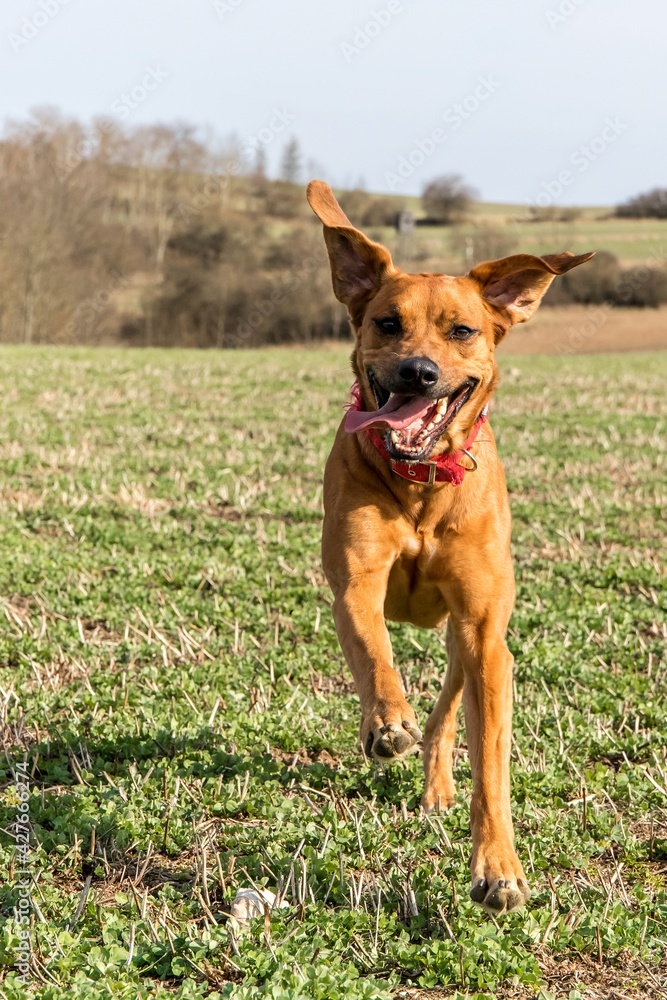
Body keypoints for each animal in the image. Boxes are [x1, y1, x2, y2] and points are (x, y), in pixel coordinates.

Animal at [308, 180, 596, 916]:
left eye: (462, 330)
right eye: (387, 323)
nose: (417, 372)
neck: (422, 483)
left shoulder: (484, 631)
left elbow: (490, 765)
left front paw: (499, 870)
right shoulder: (355, 583)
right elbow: (374, 653)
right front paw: (387, 722)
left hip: (469, 640)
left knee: (448, 711)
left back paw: (436, 786)